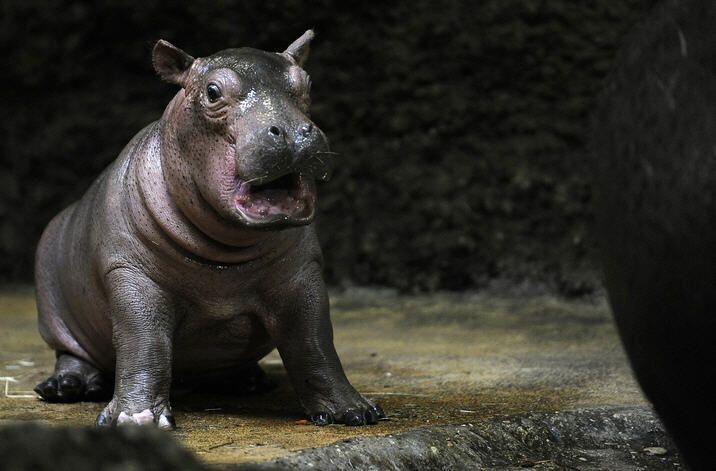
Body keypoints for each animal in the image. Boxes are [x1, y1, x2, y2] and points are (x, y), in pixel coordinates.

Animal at [32, 28, 386, 428]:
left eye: (306, 83)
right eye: (213, 92)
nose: (295, 133)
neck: (226, 254)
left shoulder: (301, 274)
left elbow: (315, 340)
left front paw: (354, 410)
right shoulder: (131, 274)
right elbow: (143, 343)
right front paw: (137, 420)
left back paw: (249, 381)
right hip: (53, 310)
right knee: (72, 353)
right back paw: (65, 388)